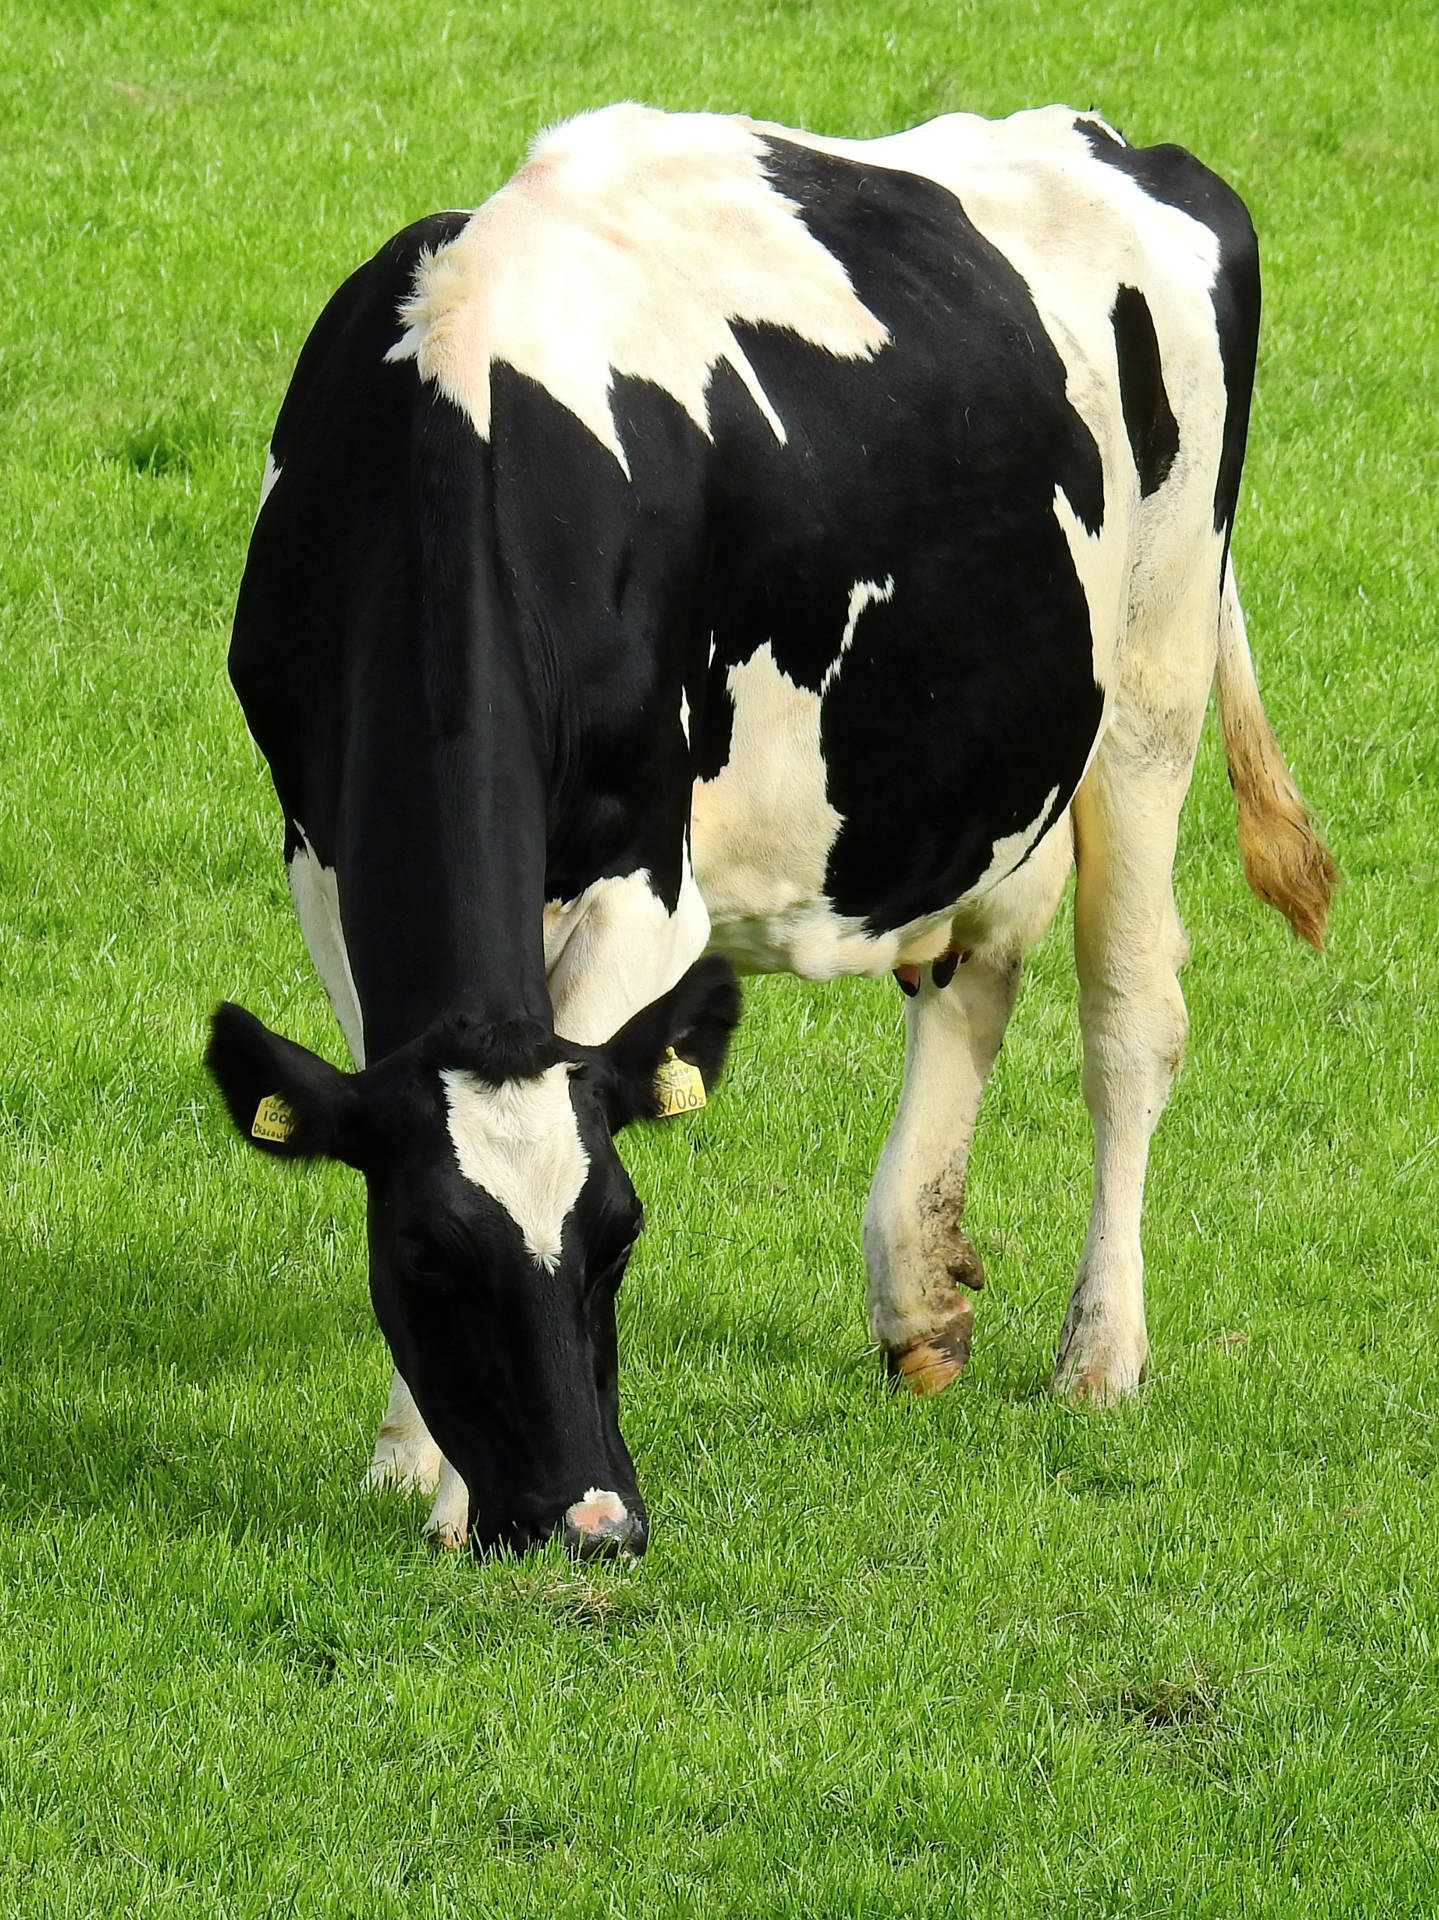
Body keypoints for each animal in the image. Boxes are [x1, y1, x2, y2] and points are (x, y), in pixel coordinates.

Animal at [204, 97, 1337, 1559]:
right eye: (424, 1253)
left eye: (620, 1232)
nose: (592, 1520)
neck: (462, 407)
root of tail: (1104, 138)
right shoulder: (321, 855)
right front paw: (412, 1460)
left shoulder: (644, 885)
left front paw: (448, 1492)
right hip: (974, 749)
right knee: (970, 973)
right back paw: (919, 1300)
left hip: (1152, 671)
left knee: (1128, 1018)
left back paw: (1099, 1354)